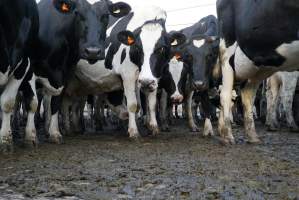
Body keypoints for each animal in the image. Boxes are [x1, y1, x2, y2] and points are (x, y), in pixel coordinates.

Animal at [26, 0, 131, 145]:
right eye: (78, 14)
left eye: (105, 16)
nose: (93, 51)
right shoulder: (29, 71)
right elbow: (33, 102)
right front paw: (31, 136)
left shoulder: (63, 75)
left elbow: (55, 104)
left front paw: (54, 133)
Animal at [217, 0, 299, 144]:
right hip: (227, 53)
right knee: (226, 95)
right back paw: (227, 135)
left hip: (259, 66)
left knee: (248, 94)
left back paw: (252, 135)